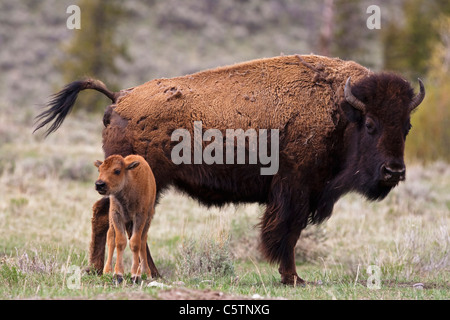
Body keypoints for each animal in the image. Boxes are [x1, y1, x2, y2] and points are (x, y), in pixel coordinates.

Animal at [34, 55, 422, 284]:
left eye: (406, 126)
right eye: (370, 124)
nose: (394, 171)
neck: (340, 110)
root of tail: (119, 98)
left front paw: (291, 276)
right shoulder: (294, 191)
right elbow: (288, 233)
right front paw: (293, 277)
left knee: (109, 216)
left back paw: (102, 269)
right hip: (142, 183)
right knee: (123, 222)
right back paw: (142, 273)